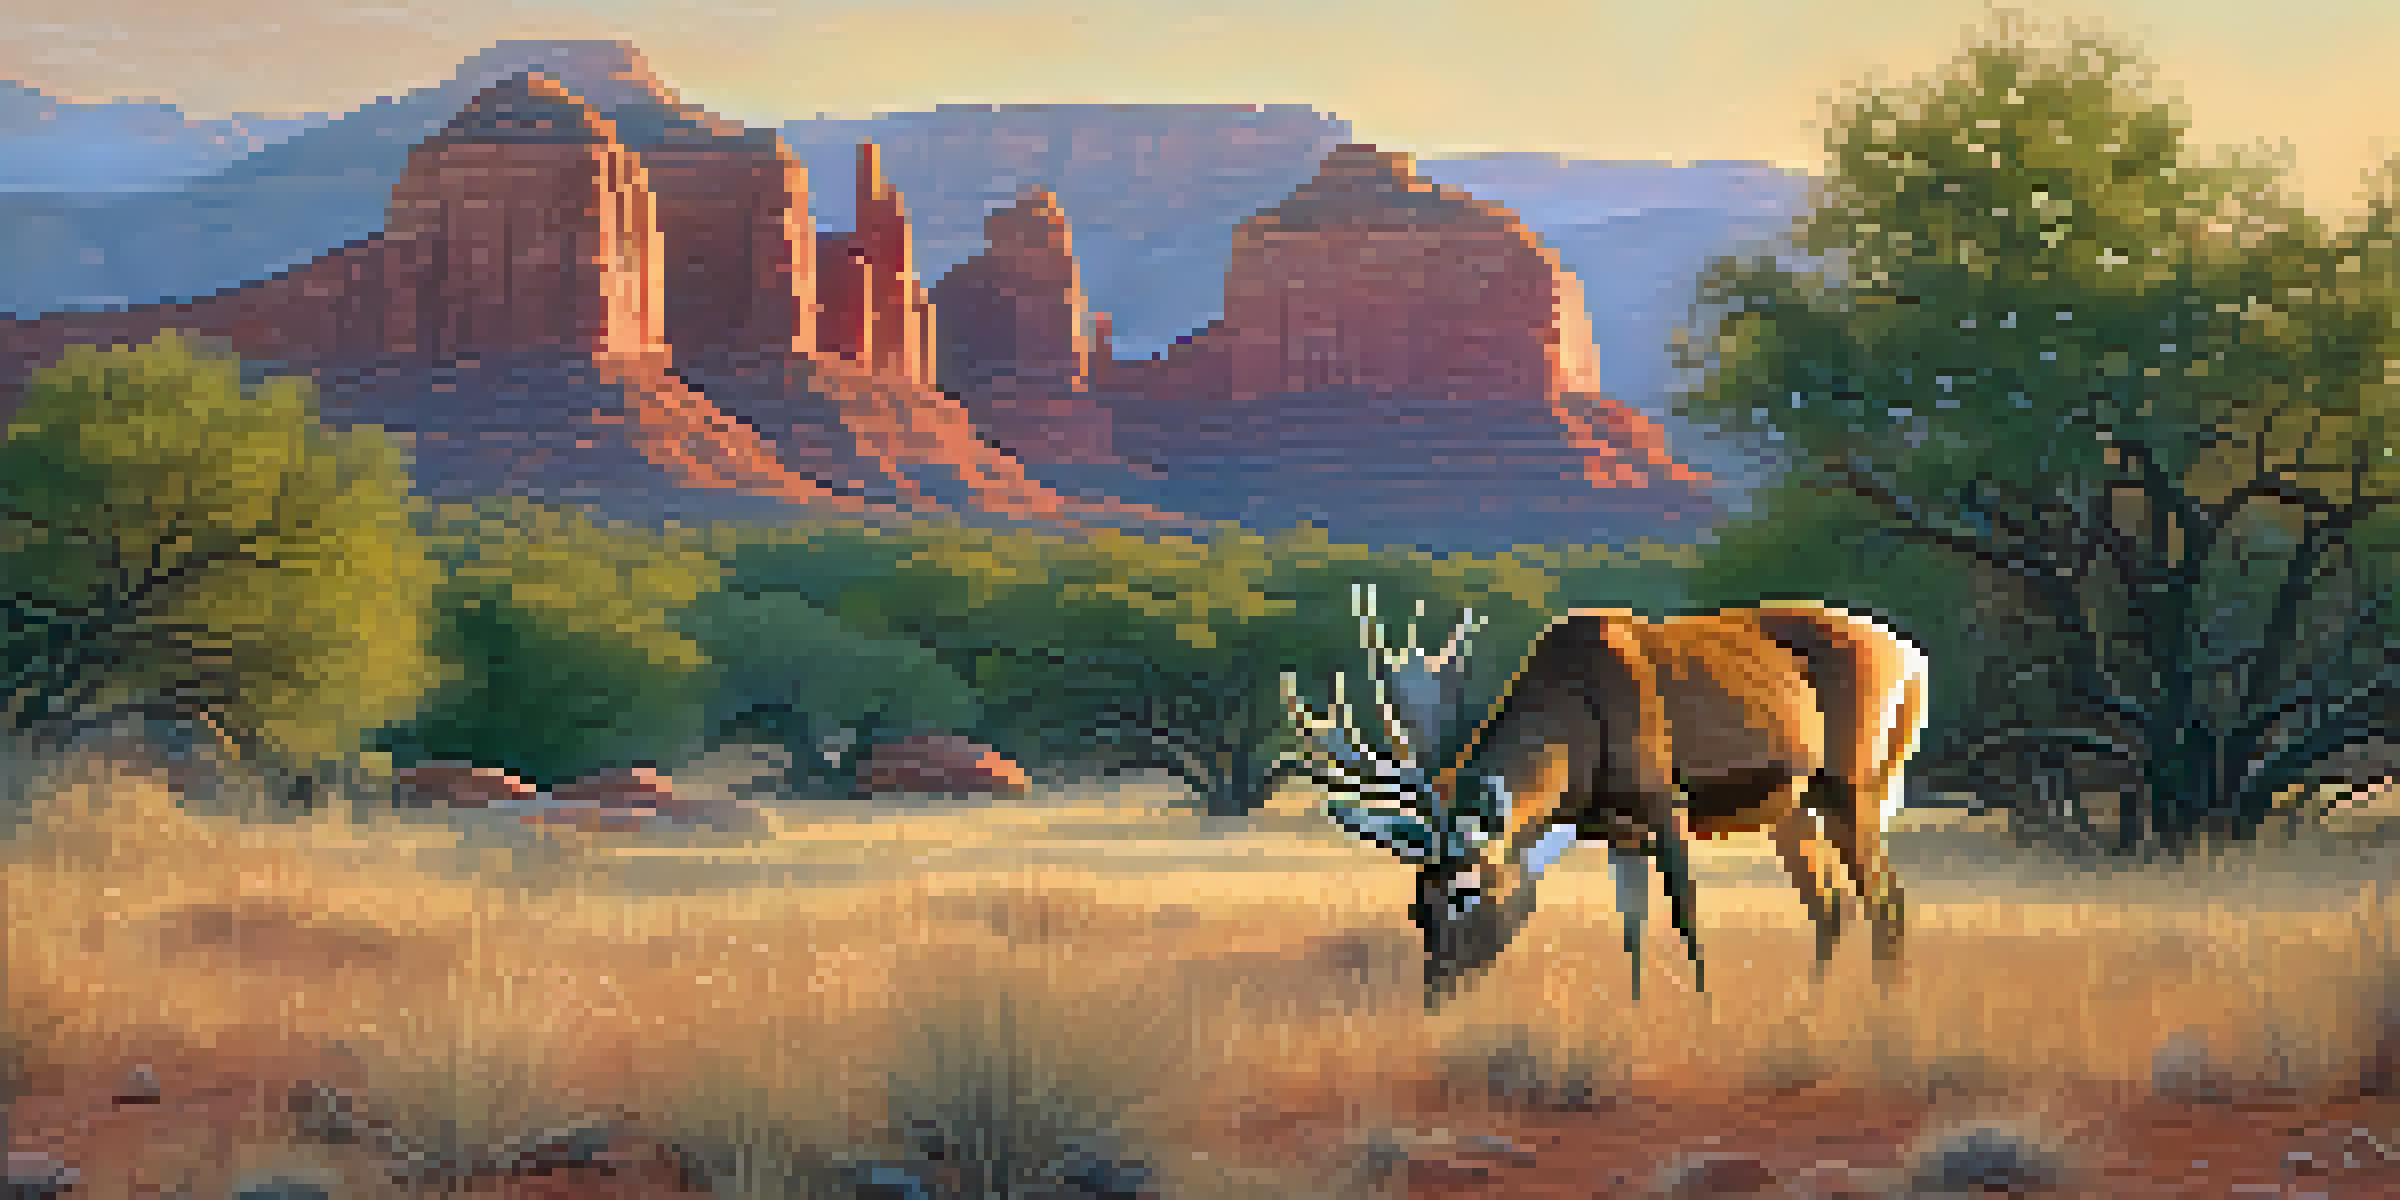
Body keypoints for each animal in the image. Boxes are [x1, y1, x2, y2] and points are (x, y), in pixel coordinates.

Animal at [1280, 586, 1928, 1010]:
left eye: (1465, 891)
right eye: (1416, 907)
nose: (1436, 996)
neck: (1574, 741)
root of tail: (1911, 659)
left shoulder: (1666, 800)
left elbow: (1686, 915)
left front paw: (1705, 1013)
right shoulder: (1618, 829)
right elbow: (1632, 929)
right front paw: (1636, 1015)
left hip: (1857, 783)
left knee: (1885, 901)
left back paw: (1886, 1017)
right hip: (1792, 808)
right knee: (1832, 906)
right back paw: (1808, 1013)